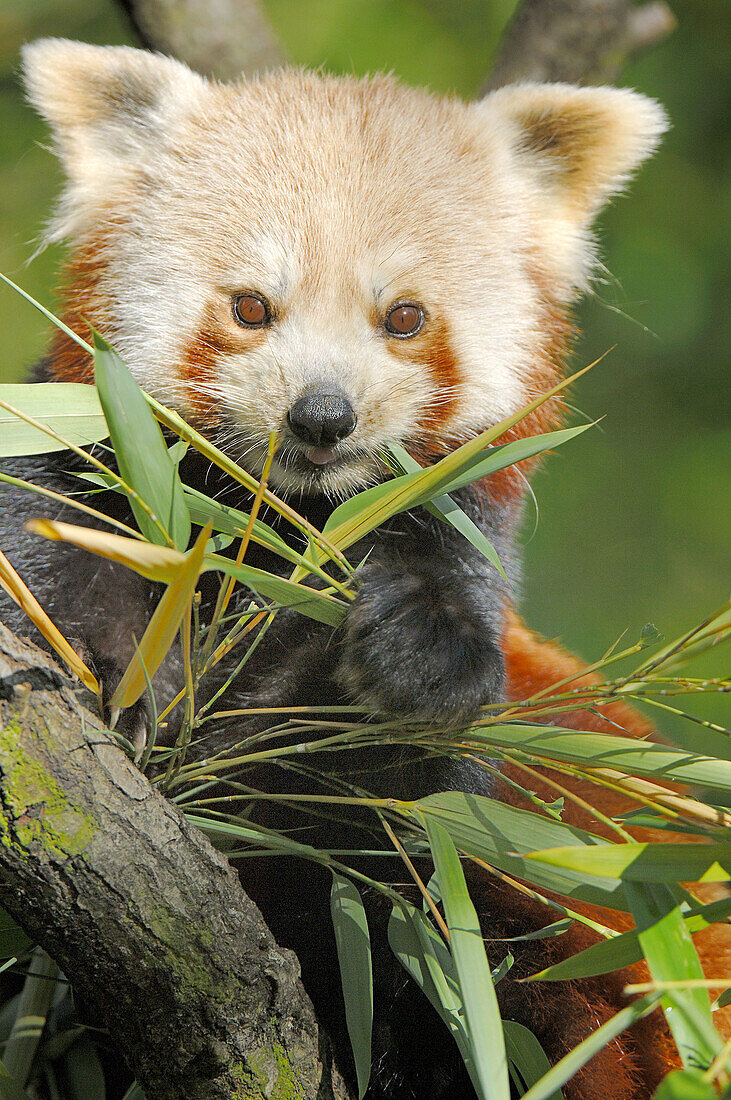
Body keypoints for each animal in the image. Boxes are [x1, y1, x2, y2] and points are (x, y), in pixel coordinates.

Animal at [2, 34, 725, 1100]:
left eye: (405, 317)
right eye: (251, 307)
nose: (321, 416)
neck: (281, 527)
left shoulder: (445, 552)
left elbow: (393, 799)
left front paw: (417, 661)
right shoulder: (90, 466)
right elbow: (52, 563)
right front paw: (115, 677)